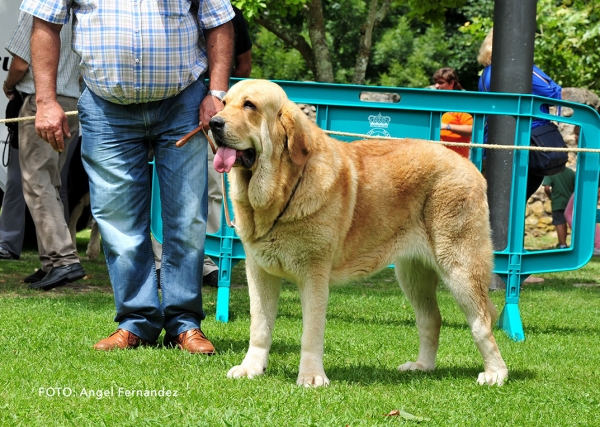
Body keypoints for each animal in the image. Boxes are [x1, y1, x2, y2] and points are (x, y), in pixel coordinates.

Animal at [209, 77, 508, 388]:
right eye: (224, 103)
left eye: (249, 106)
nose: (213, 123)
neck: (283, 188)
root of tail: (468, 164)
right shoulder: (260, 272)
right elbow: (259, 326)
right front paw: (251, 368)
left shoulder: (314, 274)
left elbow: (311, 332)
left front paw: (312, 376)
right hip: (413, 274)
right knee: (431, 319)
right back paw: (422, 366)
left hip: (460, 268)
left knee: (482, 322)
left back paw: (496, 373)